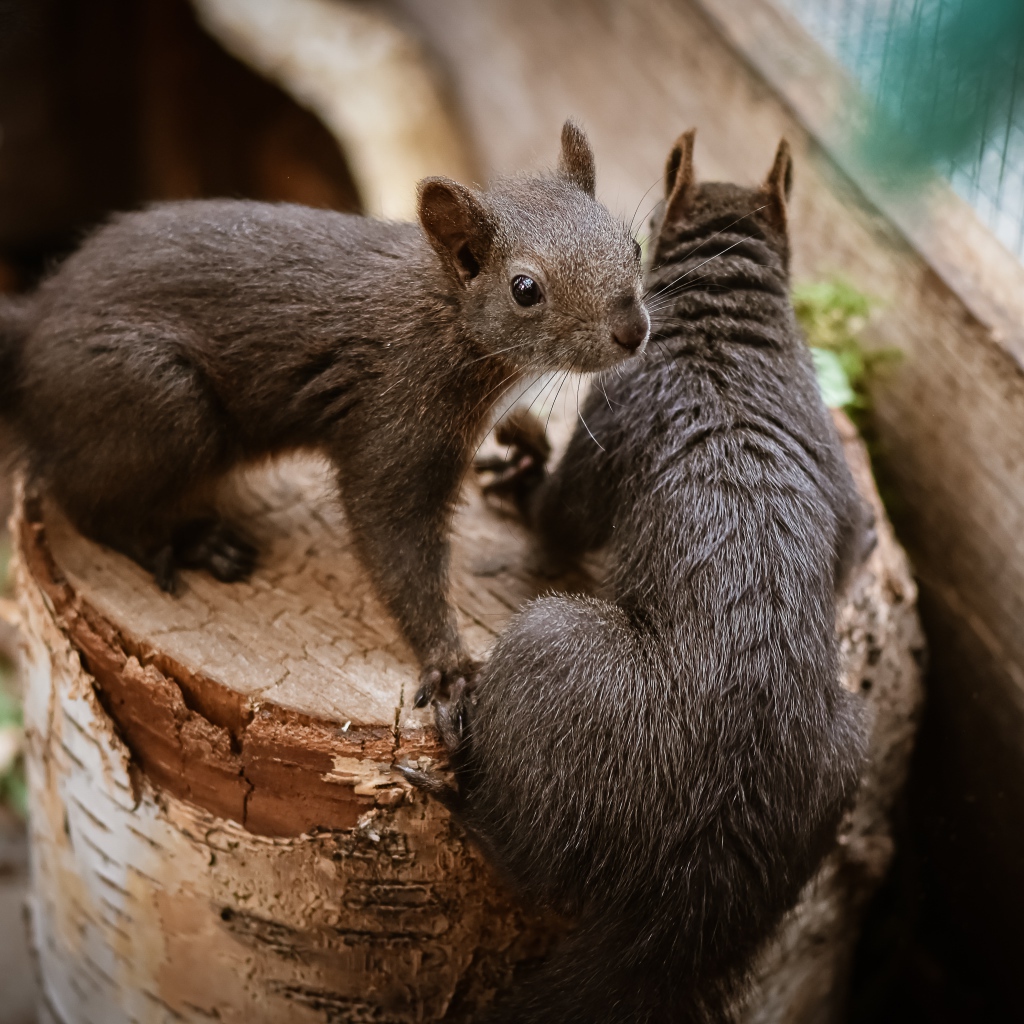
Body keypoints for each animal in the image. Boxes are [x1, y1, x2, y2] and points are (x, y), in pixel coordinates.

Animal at [0, 116, 647, 700]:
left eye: (633, 244)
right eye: (525, 289)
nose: (633, 330)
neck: (448, 316)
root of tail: (31, 330)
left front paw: (527, 436)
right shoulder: (395, 411)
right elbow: (393, 537)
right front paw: (448, 664)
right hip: (163, 405)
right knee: (88, 504)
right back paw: (189, 543)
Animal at [407, 134, 872, 1024]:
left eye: (639, 240)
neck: (732, 329)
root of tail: (707, 865)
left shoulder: (620, 408)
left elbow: (563, 517)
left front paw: (526, 475)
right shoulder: (837, 468)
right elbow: (855, 545)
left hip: (553, 654)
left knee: (526, 859)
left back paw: (458, 782)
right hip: (845, 758)